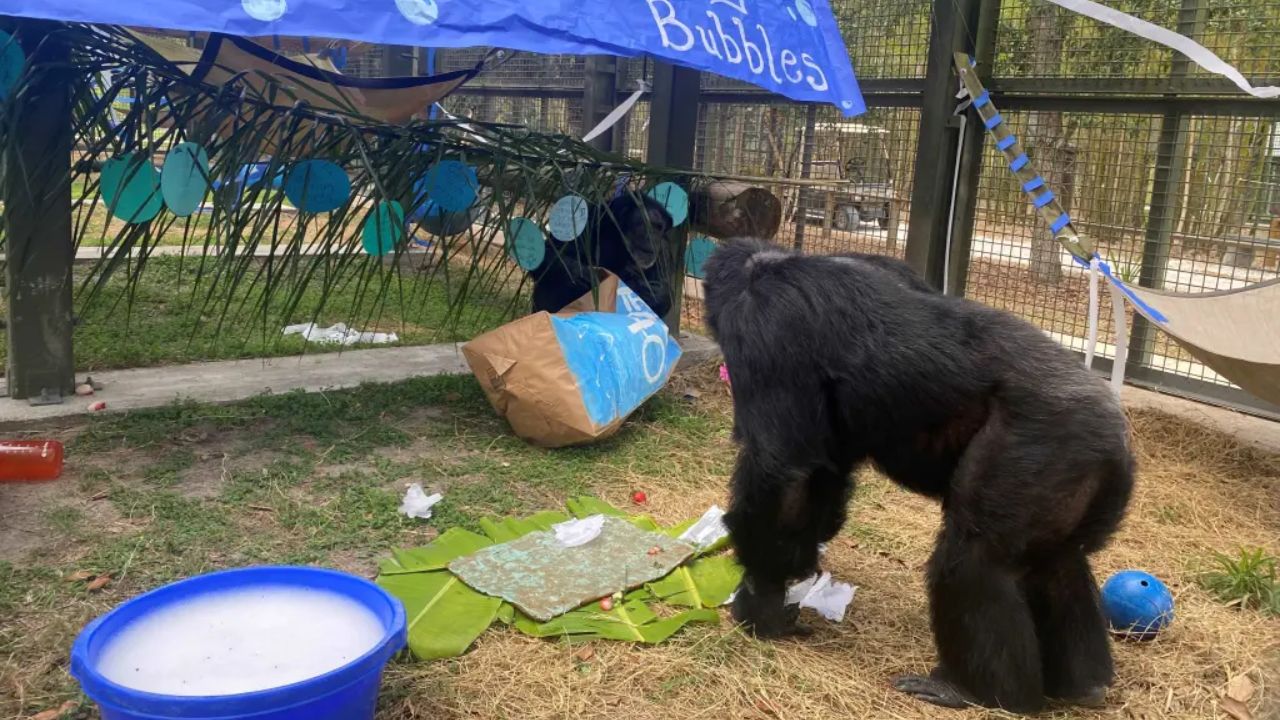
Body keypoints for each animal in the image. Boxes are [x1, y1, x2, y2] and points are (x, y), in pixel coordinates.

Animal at [702, 237, 1135, 714]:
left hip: (1038, 447)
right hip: (1073, 472)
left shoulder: (766, 327)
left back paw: (979, 692)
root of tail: (1116, 432)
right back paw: (1084, 684)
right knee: (1057, 562)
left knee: (973, 560)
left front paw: (761, 598)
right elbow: (825, 468)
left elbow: (785, 475)